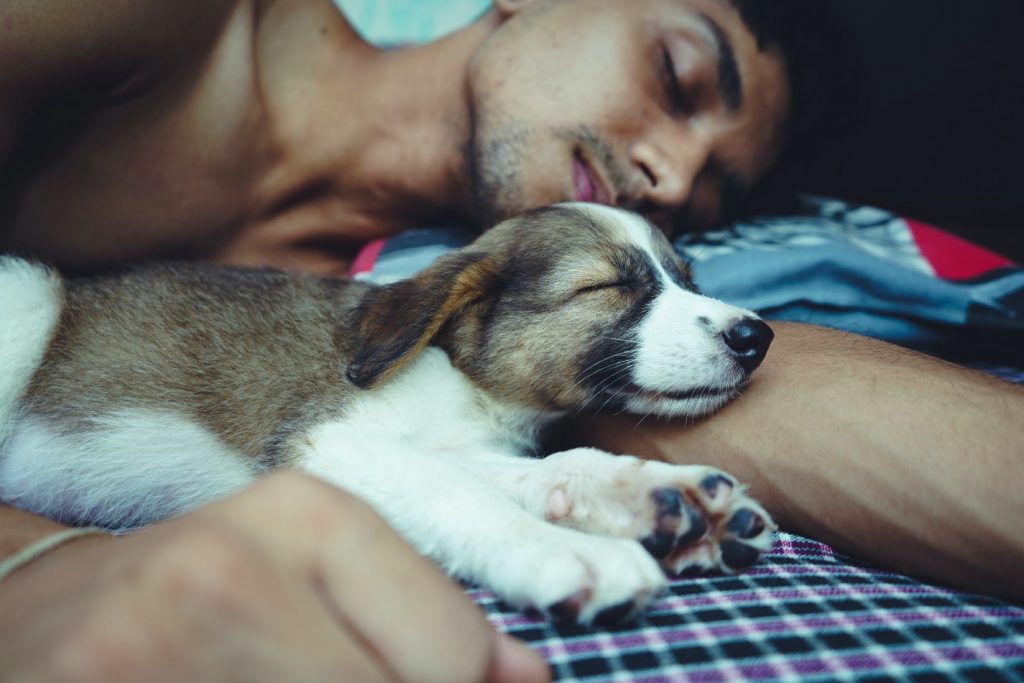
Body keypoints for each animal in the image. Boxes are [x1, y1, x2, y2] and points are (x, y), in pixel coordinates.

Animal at [0, 201, 774, 626]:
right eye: (608, 286)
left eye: (688, 278)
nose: (756, 336)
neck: (466, 380)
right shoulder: (327, 443)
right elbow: (457, 492)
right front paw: (566, 550)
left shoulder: (452, 445)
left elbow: (552, 467)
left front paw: (653, 495)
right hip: (26, 292)